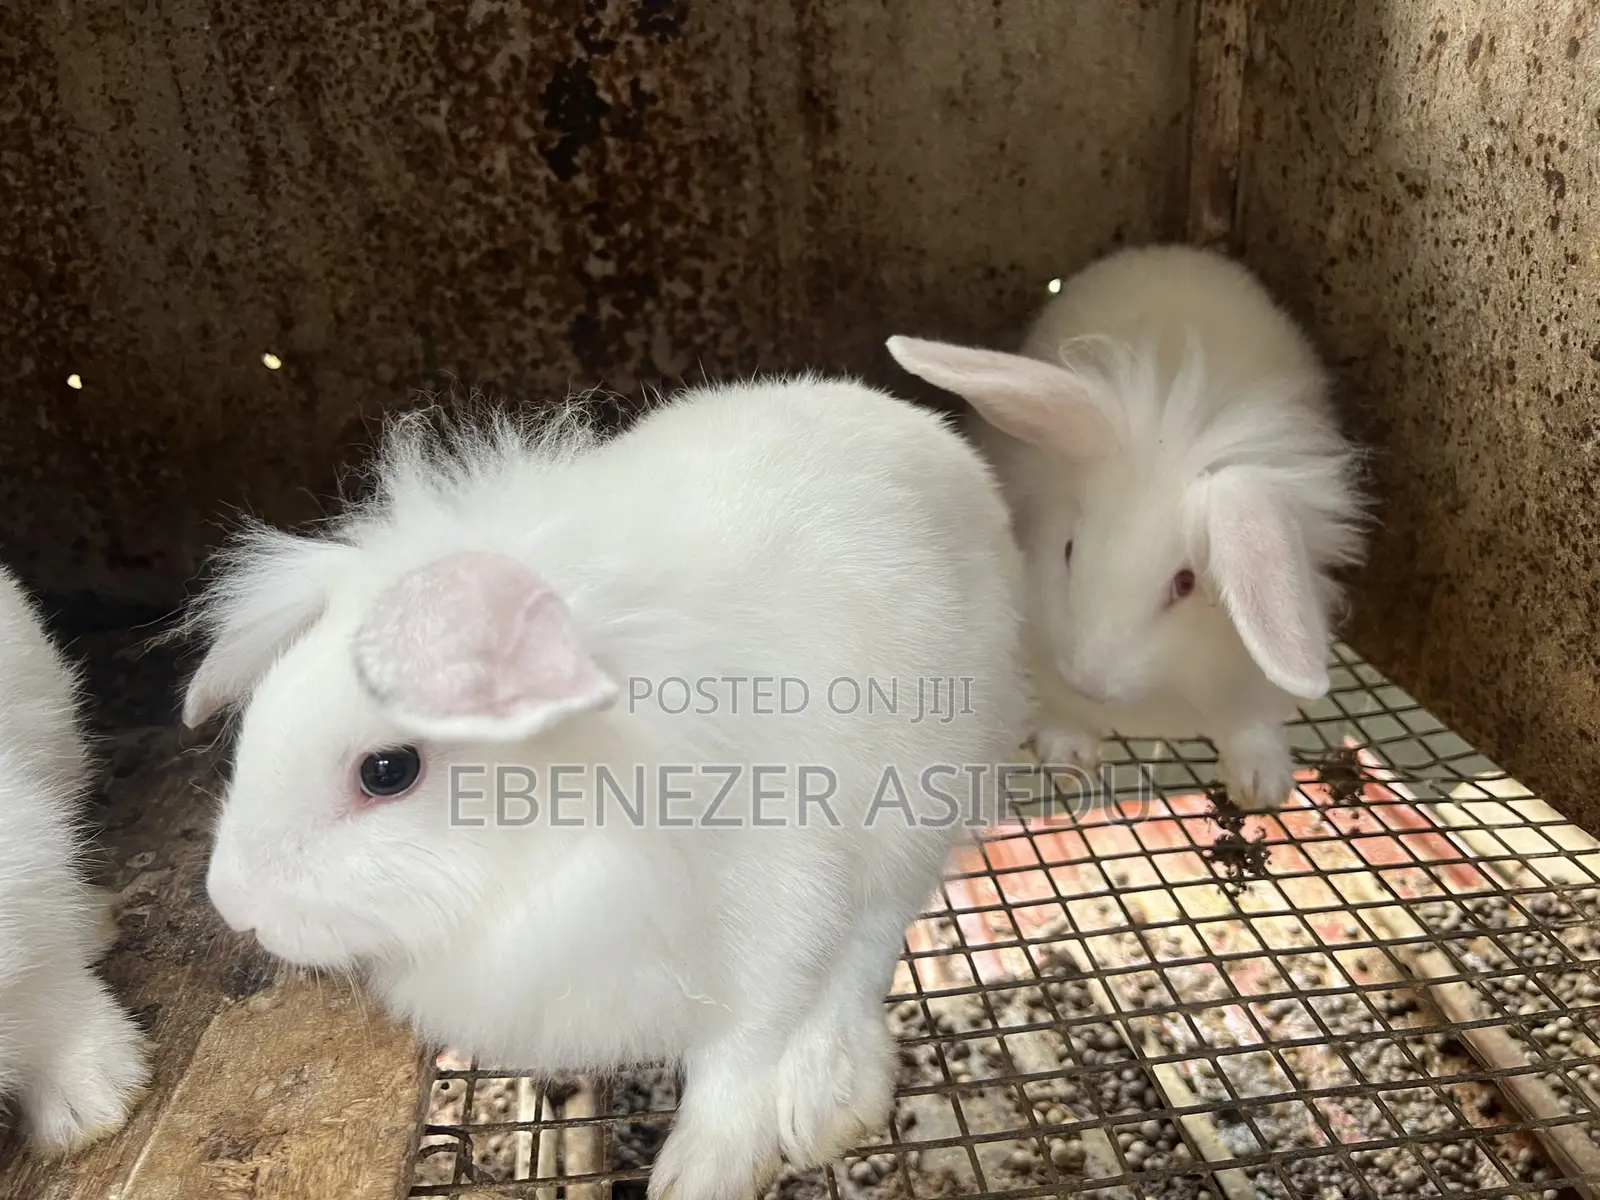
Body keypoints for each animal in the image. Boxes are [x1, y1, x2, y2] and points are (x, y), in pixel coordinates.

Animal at [176, 377, 1032, 1200]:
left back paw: (827, 1100)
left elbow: (741, 1061)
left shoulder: (774, 929)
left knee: (869, 950)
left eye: (387, 771)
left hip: (919, 811)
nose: (235, 905)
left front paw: (701, 1176)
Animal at [886, 243, 1368, 811]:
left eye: (1185, 583)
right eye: (1069, 549)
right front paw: (1067, 754)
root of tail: (1175, 251)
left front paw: (1262, 785)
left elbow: (1254, 726)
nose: (1089, 682)